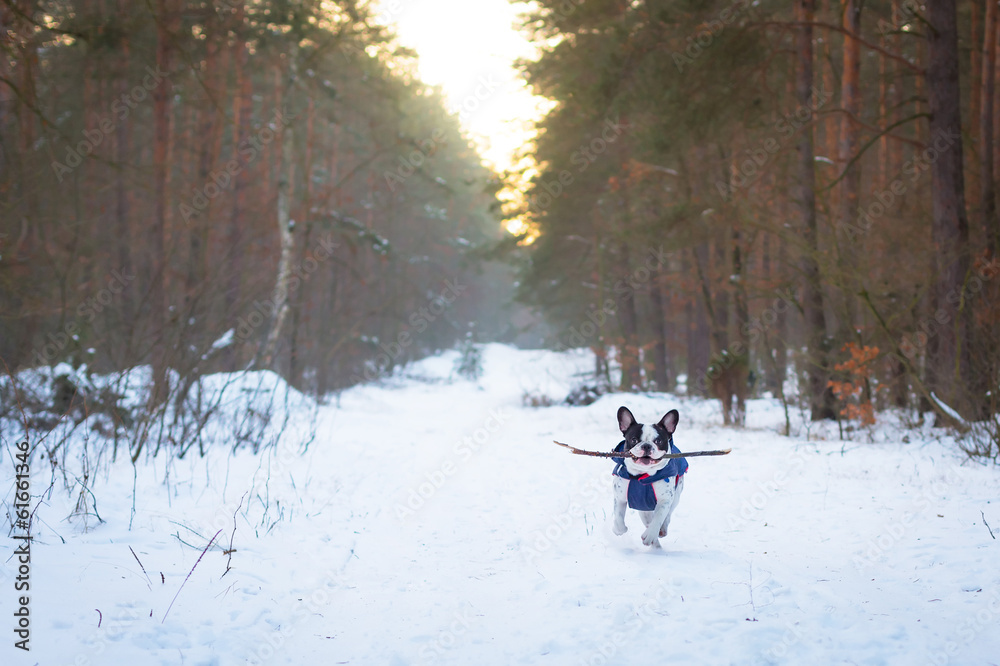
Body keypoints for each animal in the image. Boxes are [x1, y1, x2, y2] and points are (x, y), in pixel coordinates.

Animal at [608, 404, 688, 544]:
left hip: (676, 495)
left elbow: (659, 518)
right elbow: (618, 519)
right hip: (643, 508)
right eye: (634, 440)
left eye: (658, 441)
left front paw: (650, 535)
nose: (646, 446)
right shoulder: (620, 497)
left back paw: (661, 530)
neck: (641, 475)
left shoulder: (664, 500)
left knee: (667, 515)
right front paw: (619, 530)